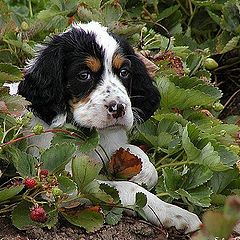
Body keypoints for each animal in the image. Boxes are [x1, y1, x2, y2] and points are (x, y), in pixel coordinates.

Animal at [17, 22, 201, 232]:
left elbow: (135, 153)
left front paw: (145, 172)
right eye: (84, 75)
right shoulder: (63, 184)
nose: (119, 108)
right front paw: (174, 213)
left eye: (124, 72)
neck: (87, 135)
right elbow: (123, 188)